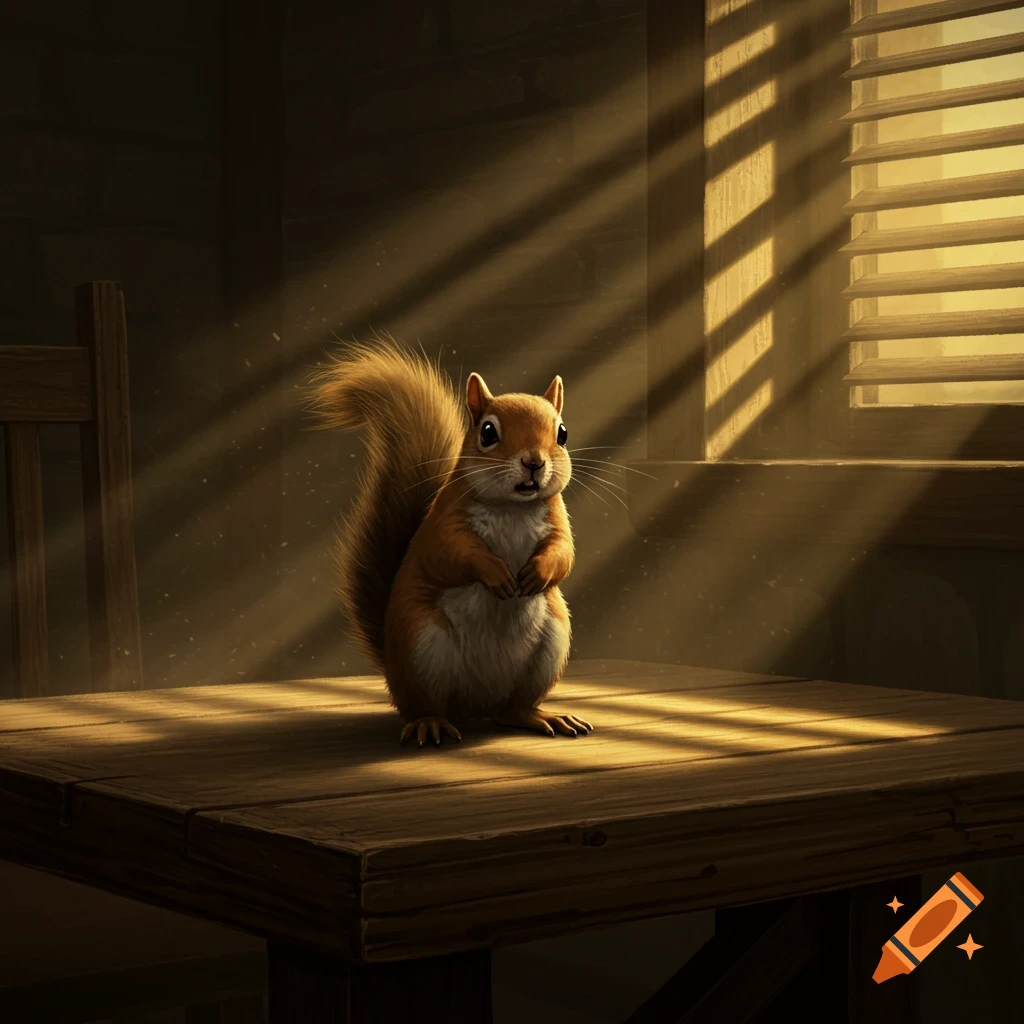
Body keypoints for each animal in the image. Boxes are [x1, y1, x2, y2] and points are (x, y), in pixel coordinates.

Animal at [309, 338, 593, 747]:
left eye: (563, 433)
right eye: (488, 432)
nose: (534, 464)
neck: (512, 507)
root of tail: (476, 708)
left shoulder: (557, 521)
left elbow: (564, 553)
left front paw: (537, 573)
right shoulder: (443, 525)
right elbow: (452, 554)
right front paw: (496, 573)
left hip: (549, 647)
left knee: (513, 710)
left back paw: (540, 716)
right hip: (421, 646)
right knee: (423, 705)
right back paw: (430, 724)